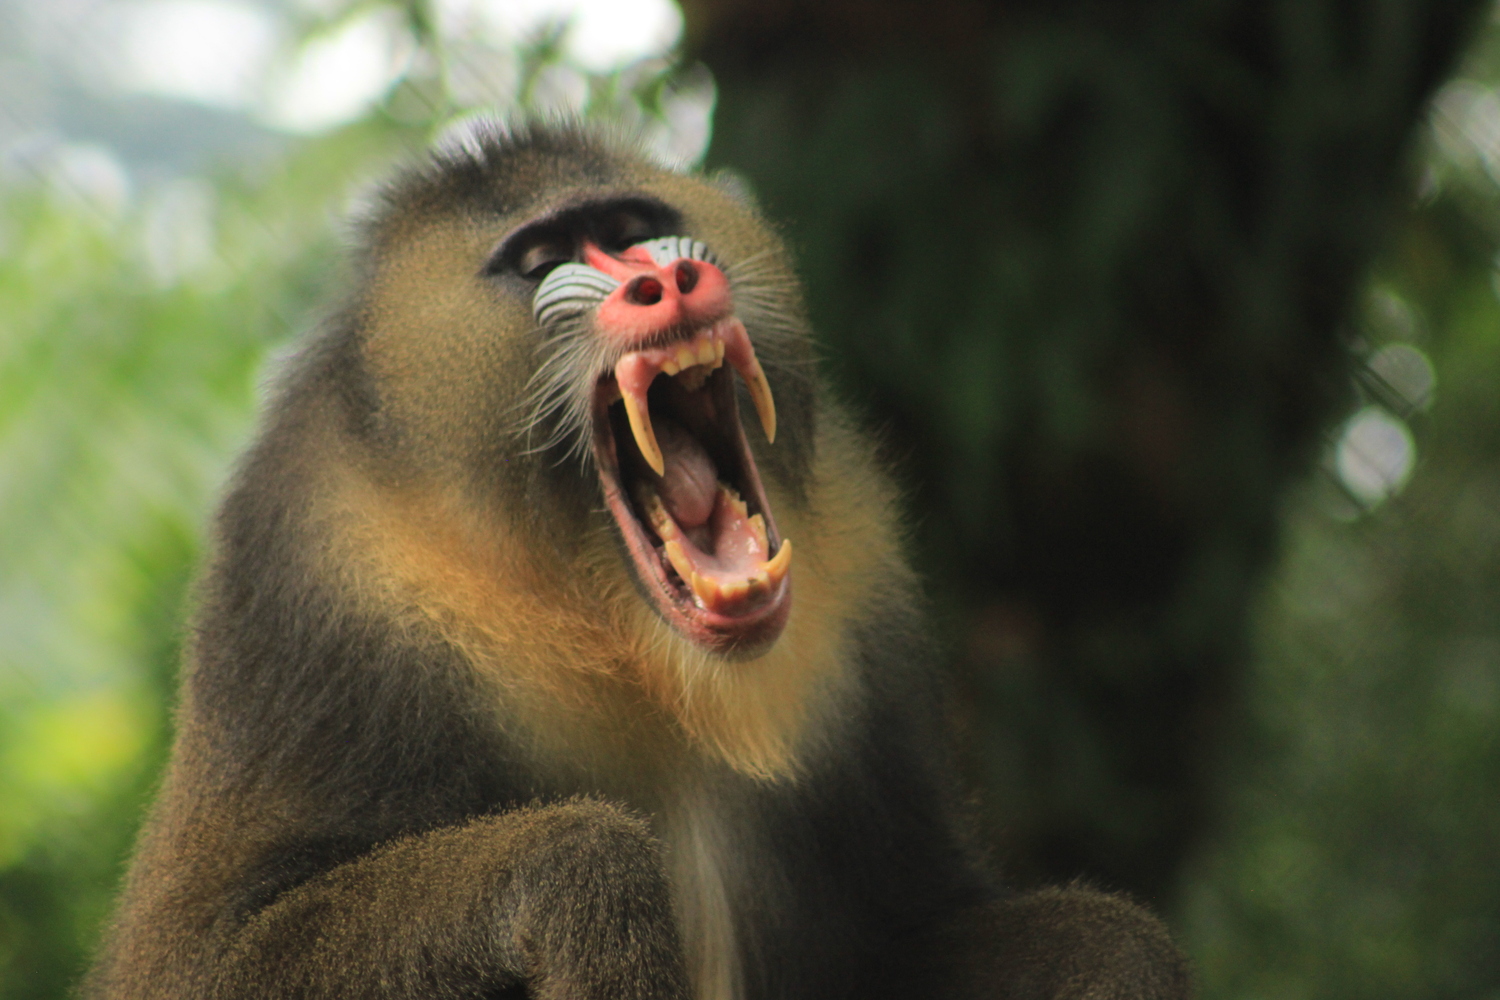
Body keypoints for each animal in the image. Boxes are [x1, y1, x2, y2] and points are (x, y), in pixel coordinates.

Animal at [87, 125, 1188, 1000]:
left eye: (626, 226)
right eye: (539, 259)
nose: (670, 280)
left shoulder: (862, 576)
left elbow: (994, 928)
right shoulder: (316, 594)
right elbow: (202, 958)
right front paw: (592, 897)